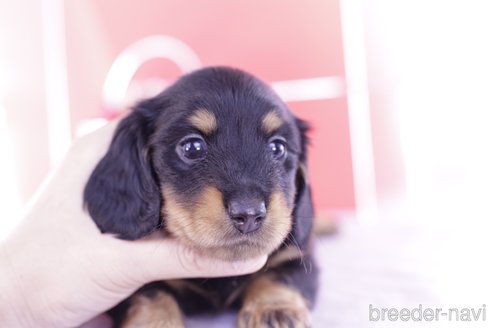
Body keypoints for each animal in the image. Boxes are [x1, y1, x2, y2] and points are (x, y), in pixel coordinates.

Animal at [84, 65, 320, 326]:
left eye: (278, 148)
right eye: (192, 147)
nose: (249, 215)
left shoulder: (299, 256)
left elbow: (279, 275)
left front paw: (274, 310)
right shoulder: (131, 279)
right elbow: (149, 293)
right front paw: (157, 321)